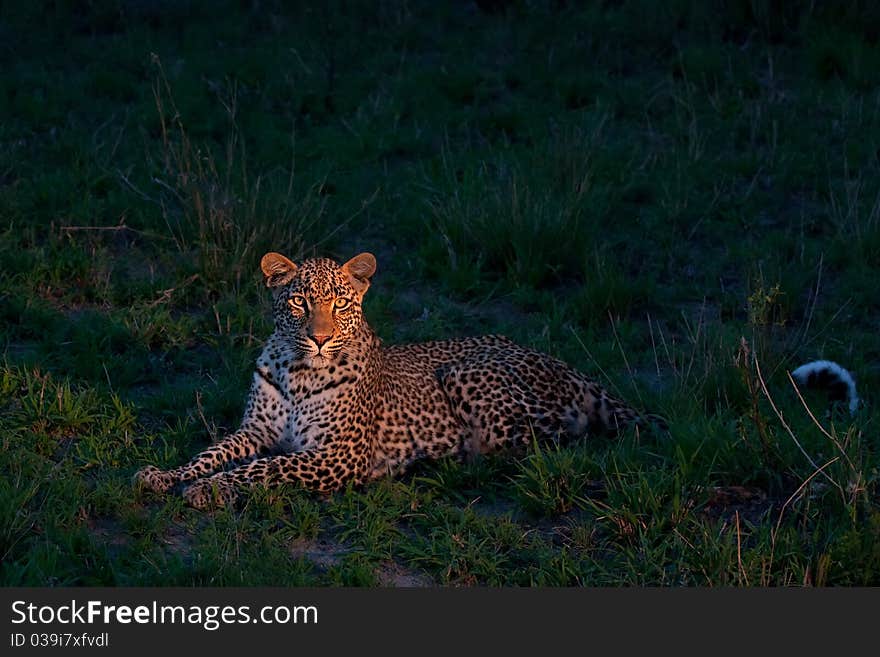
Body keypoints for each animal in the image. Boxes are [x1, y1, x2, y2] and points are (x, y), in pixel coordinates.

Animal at [134, 251, 664, 508]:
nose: (320, 339)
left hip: (469, 375)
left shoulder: (337, 455)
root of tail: (573, 369)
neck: (296, 368)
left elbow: (265, 469)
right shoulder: (255, 431)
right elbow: (210, 453)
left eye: (340, 303)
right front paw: (165, 475)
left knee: (560, 442)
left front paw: (212, 489)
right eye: (299, 301)